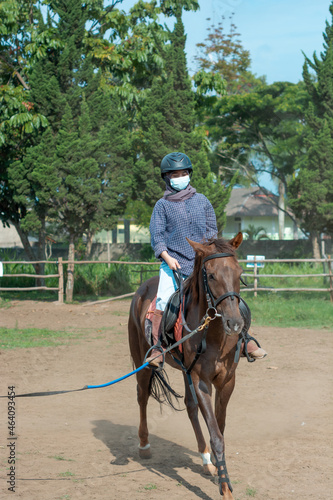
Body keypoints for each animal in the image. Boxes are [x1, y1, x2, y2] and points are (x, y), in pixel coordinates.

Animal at [128, 232, 245, 498]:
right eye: (210, 275)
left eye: (239, 272)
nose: (234, 323)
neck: (213, 335)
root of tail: (142, 289)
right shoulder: (202, 381)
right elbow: (216, 435)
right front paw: (225, 488)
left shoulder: (227, 381)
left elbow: (219, 427)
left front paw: (217, 469)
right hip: (142, 362)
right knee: (142, 396)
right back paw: (144, 445)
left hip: (185, 370)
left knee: (190, 407)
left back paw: (205, 461)